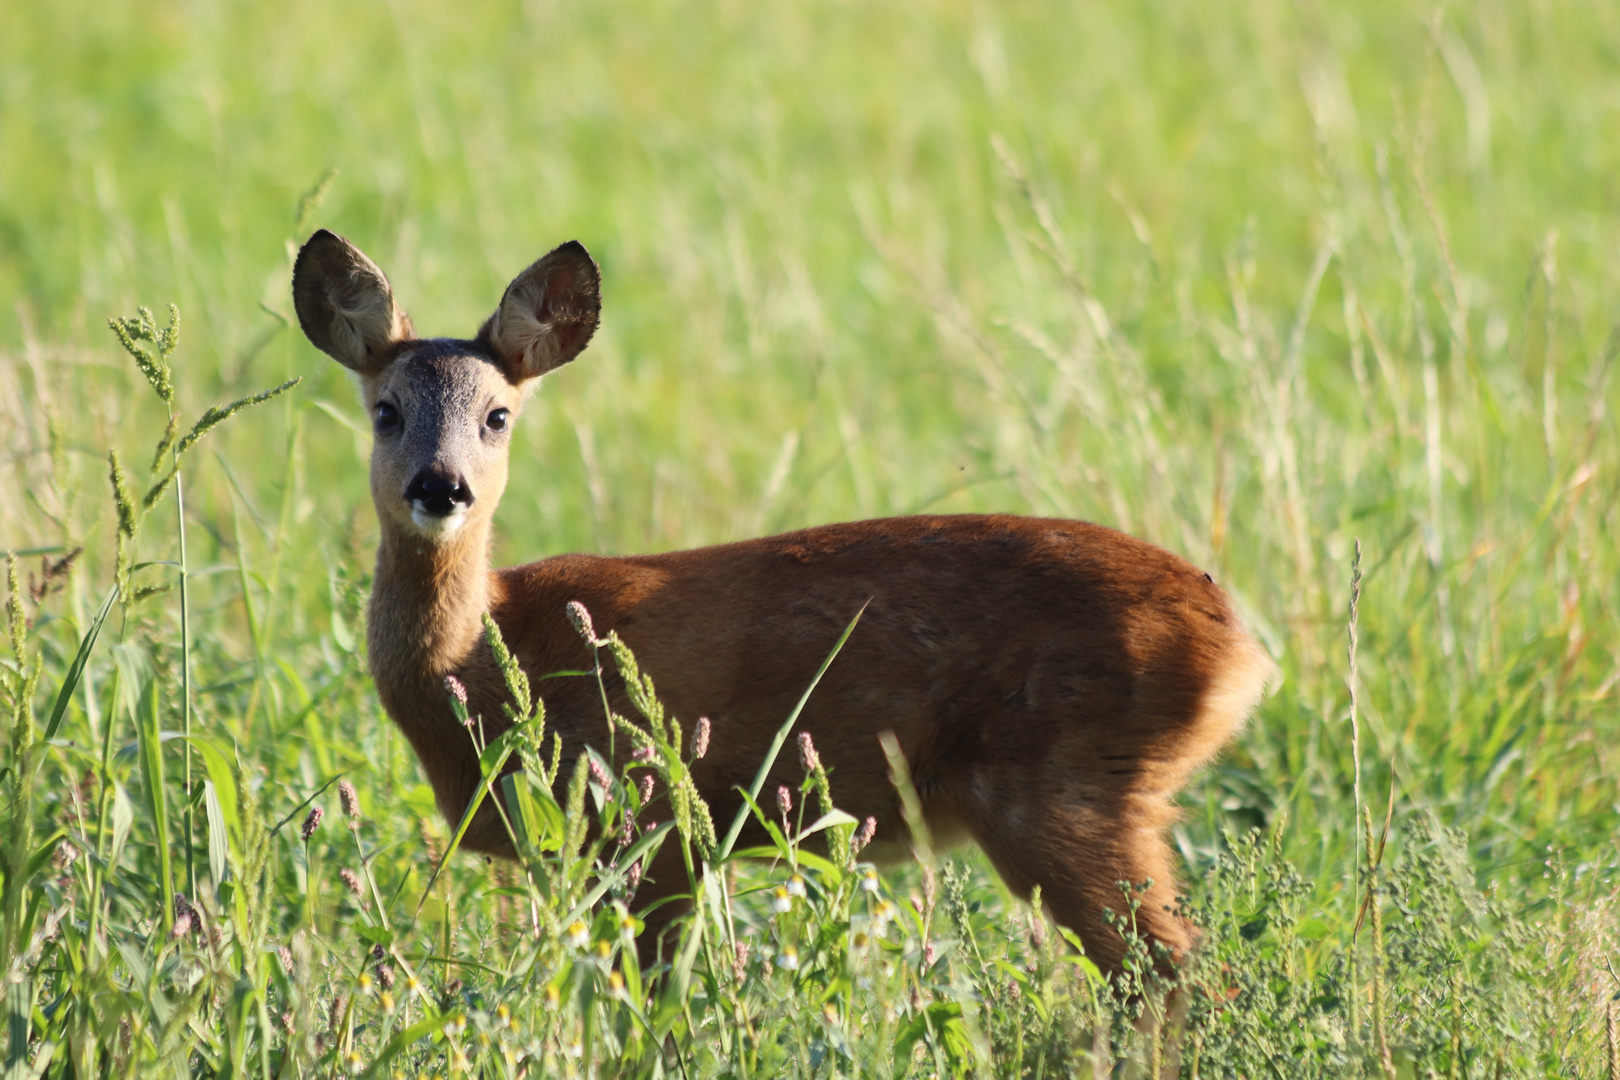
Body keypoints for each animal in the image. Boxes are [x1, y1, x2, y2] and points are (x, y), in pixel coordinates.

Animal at [291, 233, 1276, 977]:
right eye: (385, 410)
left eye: (497, 416)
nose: (441, 486)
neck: (491, 658)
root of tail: (1242, 651)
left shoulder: (652, 818)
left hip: (1064, 785)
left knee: (1172, 974)